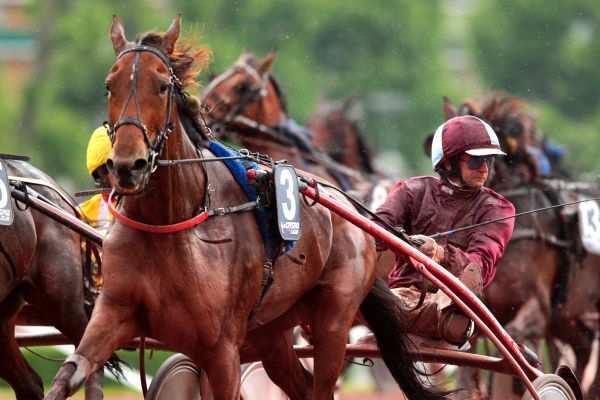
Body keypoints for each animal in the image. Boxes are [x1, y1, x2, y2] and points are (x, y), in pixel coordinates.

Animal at [45, 15, 446, 400]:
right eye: (108, 85)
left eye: (161, 86)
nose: (129, 165)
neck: (171, 223)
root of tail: (352, 211)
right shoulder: (111, 315)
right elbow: (66, 376)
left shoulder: (221, 349)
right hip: (272, 329)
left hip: (334, 319)